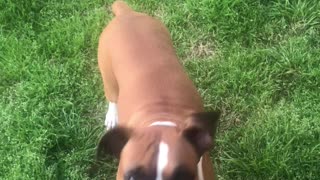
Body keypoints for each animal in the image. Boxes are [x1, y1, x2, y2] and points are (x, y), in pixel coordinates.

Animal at [95, 0, 220, 179]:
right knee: (112, 96)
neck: (162, 118)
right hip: (108, 77)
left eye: (182, 176)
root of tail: (126, 14)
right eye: (133, 176)